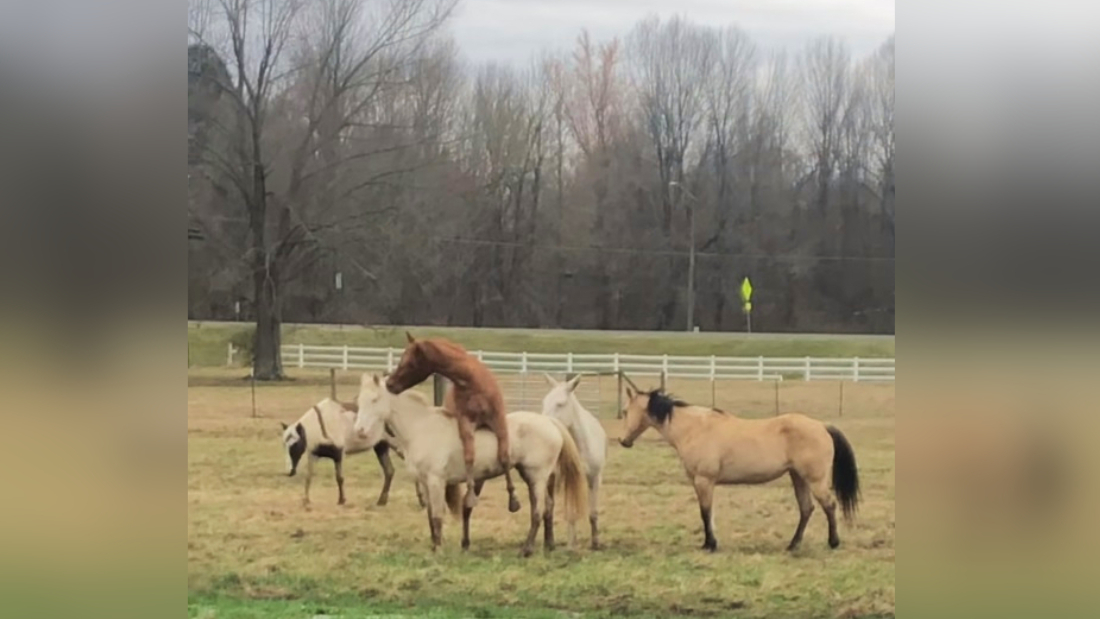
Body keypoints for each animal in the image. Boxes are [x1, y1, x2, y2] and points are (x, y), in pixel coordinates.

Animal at [279, 400, 424, 510]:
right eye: (284, 444)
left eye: (295, 444)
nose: (288, 472)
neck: (321, 424)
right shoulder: (314, 455)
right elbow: (309, 477)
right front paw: (306, 501)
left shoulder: (338, 454)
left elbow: (339, 478)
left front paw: (342, 500)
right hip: (381, 446)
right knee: (389, 471)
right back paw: (381, 501)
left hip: (399, 446)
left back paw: (422, 501)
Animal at [356, 373, 589, 556]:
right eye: (359, 400)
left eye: (374, 399)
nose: (359, 430)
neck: (421, 427)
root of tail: (550, 422)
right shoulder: (424, 482)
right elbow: (430, 516)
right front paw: (434, 546)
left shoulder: (436, 481)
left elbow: (437, 516)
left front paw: (439, 550)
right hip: (532, 476)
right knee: (548, 506)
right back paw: (548, 545)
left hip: (537, 477)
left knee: (538, 510)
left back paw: (527, 549)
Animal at [385, 332, 521, 516]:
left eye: (410, 362)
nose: (389, 384)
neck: (472, 382)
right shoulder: (465, 423)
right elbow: (469, 455)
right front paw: (470, 496)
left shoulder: (498, 420)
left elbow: (504, 456)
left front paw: (513, 499)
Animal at [541, 376, 611, 549]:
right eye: (544, 402)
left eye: (560, 404)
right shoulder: (568, 479)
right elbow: (570, 513)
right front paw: (571, 544)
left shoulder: (595, 478)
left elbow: (593, 512)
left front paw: (595, 542)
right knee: (548, 508)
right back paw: (549, 542)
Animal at [620, 376, 858, 554]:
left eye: (625, 411)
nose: (624, 441)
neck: (695, 428)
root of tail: (822, 426)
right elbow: (709, 513)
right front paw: (710, 542)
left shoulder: (704, 480)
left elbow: (705, 512)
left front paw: (709, 545)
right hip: (797, 477)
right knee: (806, 508)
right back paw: (792, 545)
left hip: (814, 480)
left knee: (829, 505)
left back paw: (833, 543)